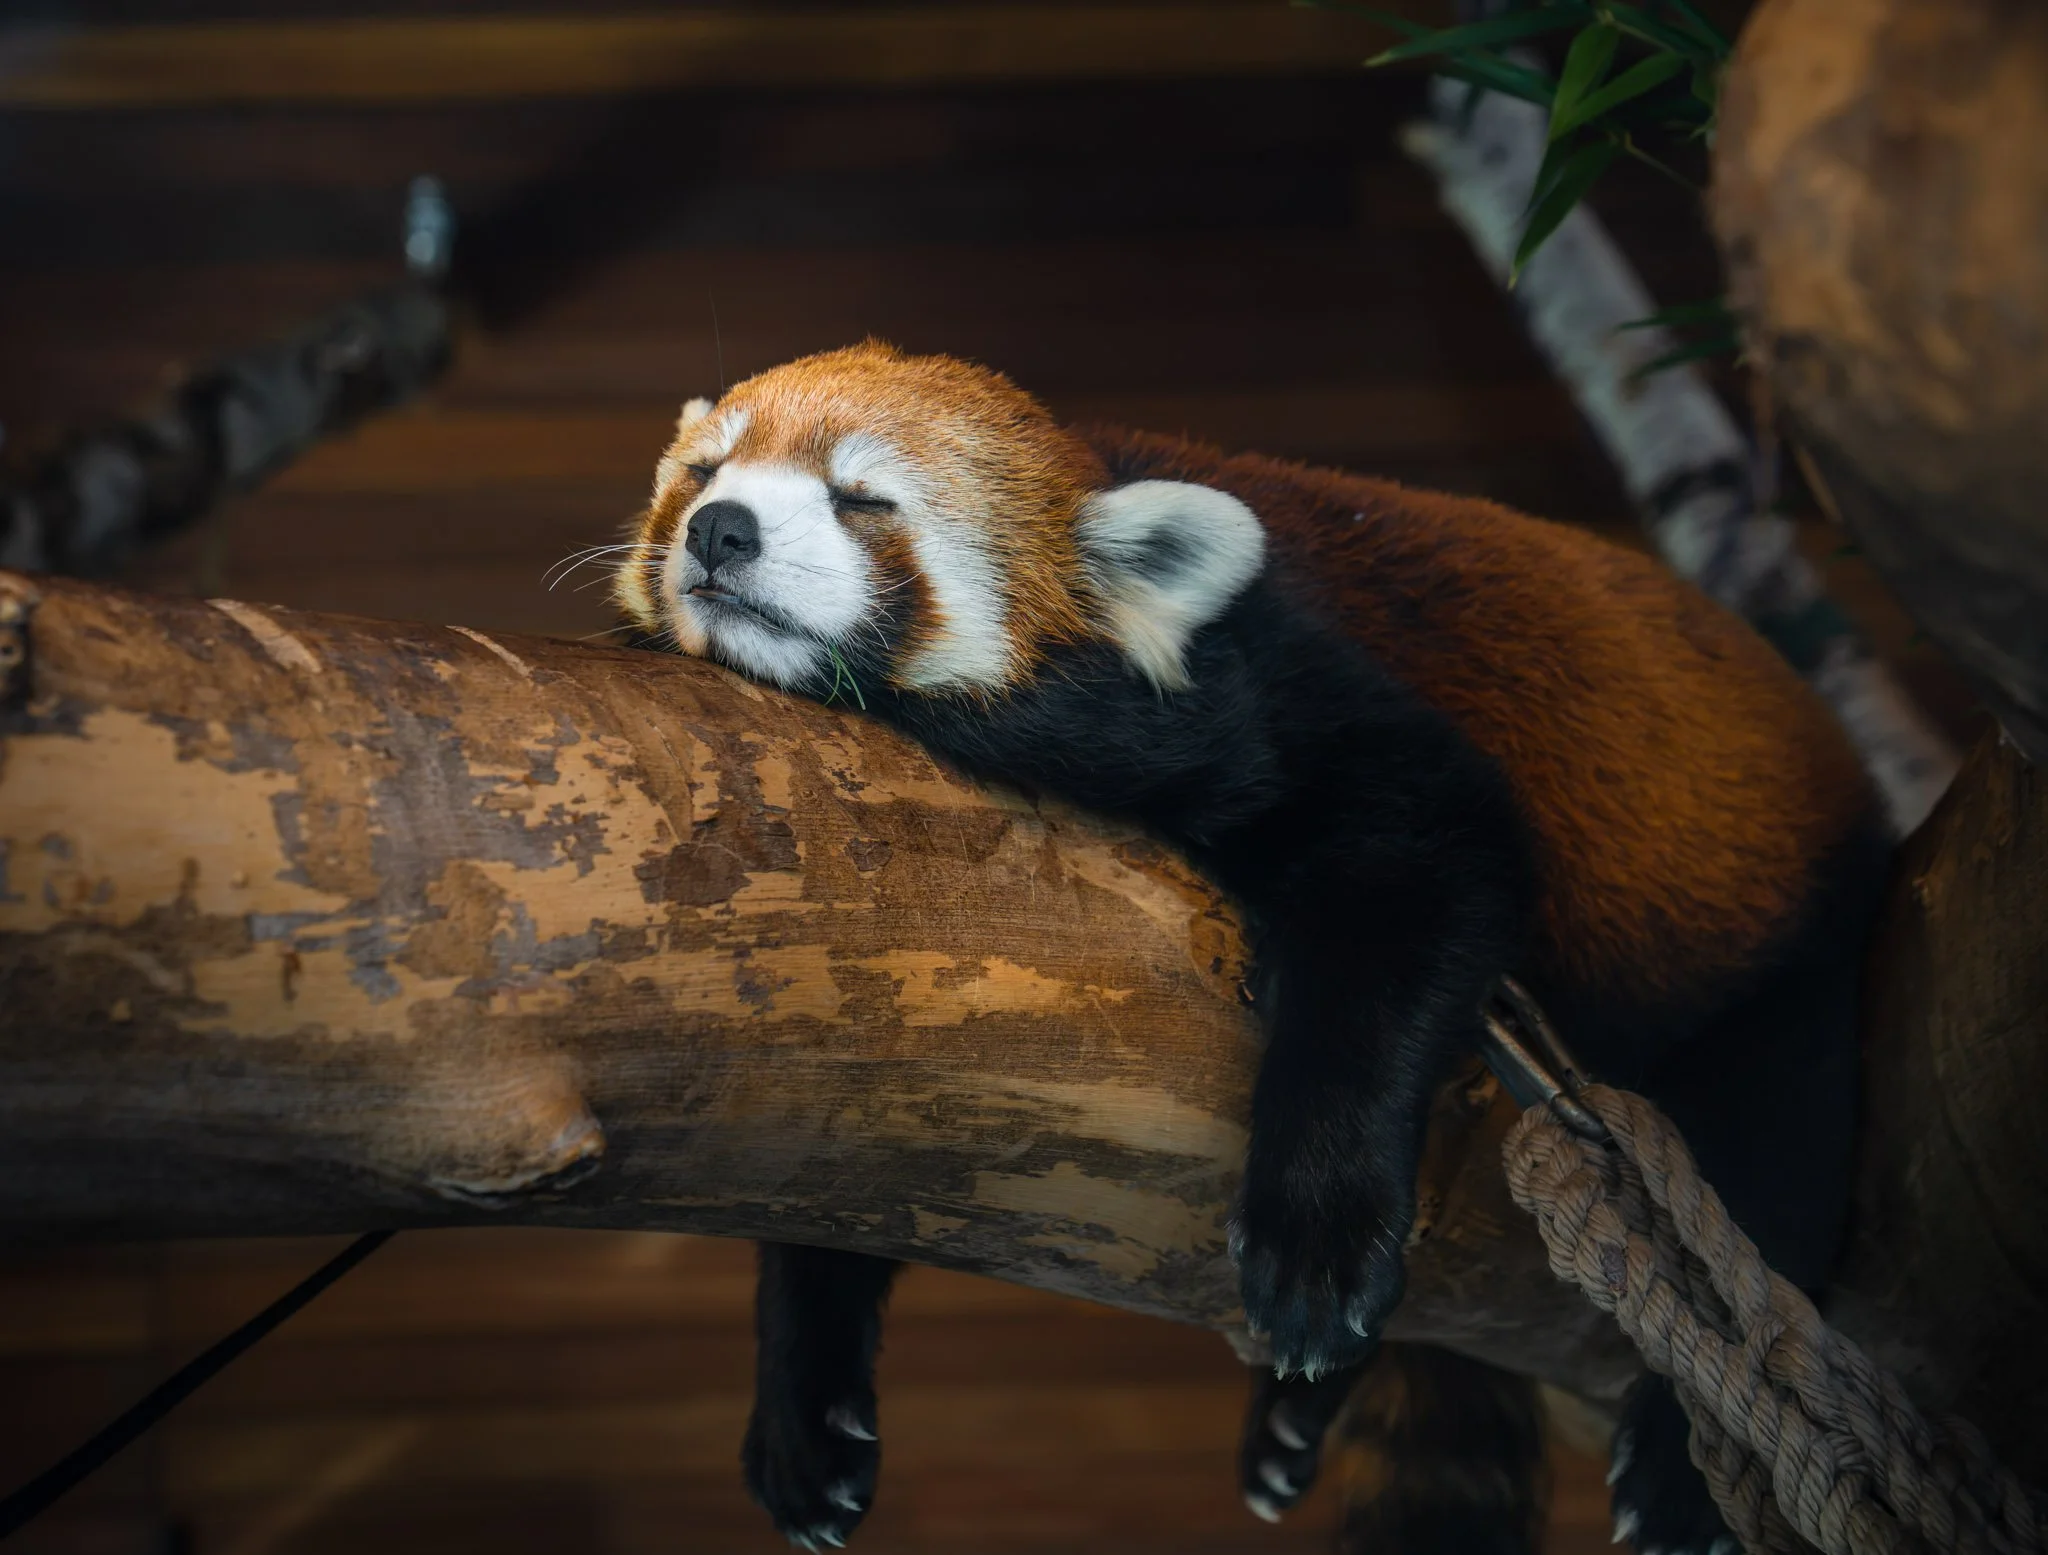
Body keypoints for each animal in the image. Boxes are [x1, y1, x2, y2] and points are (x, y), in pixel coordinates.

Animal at [612, 342, 1888, 1554]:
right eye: (703, 472)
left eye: (863, 499)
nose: (719, 529)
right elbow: (839, 1160)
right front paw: (805, 1400)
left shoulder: (1297, 691)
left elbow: (1421, 886)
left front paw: (1315, 1239)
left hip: (1785, 949)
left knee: (1772, 1153)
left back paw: (1685, 1463)